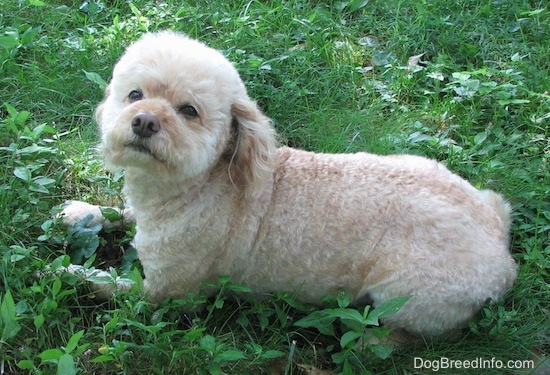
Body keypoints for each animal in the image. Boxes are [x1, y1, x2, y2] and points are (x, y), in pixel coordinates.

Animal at [62, 31, 520, 338]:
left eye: (188, 111)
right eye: (134, 95)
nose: (144, 121)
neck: (199, 184)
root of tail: (501, 245)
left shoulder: (164, 292)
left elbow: (107, 285)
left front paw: (69, 271)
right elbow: (115, 213)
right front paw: (81, 213)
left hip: (404, 298)